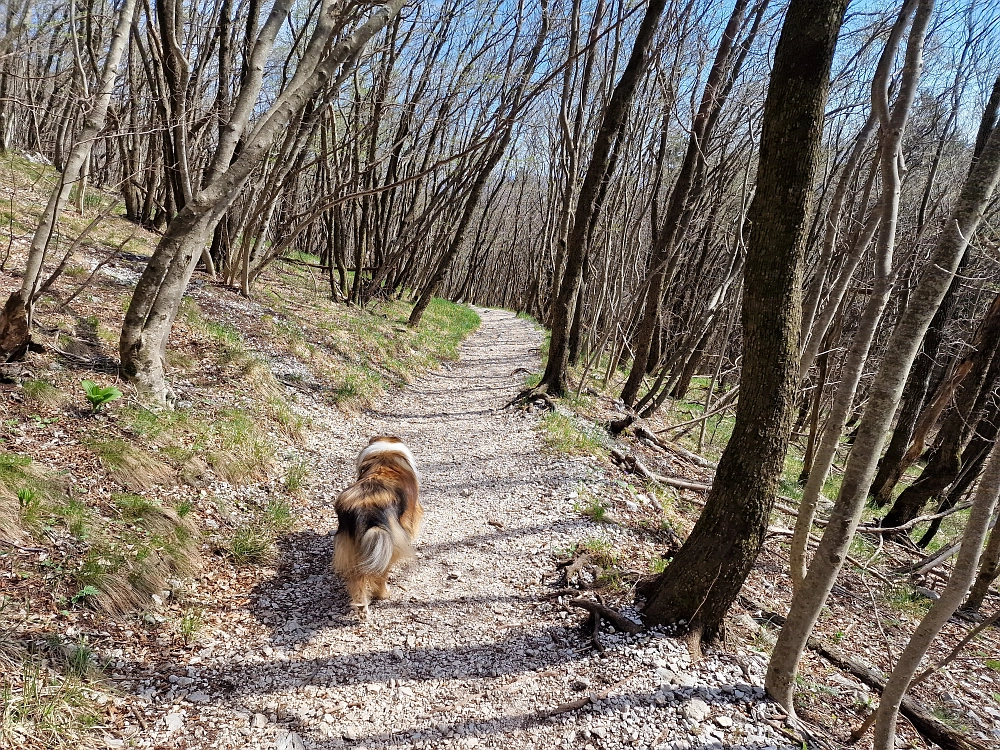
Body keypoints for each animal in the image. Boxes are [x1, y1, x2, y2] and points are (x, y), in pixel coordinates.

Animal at [330, 434, 420, 616]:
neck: (385, 456)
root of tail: (365, 510)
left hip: (352, 547)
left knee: (357, 579)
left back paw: (361, 605)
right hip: (387, 545)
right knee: (379, 574)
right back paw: (383, 594)